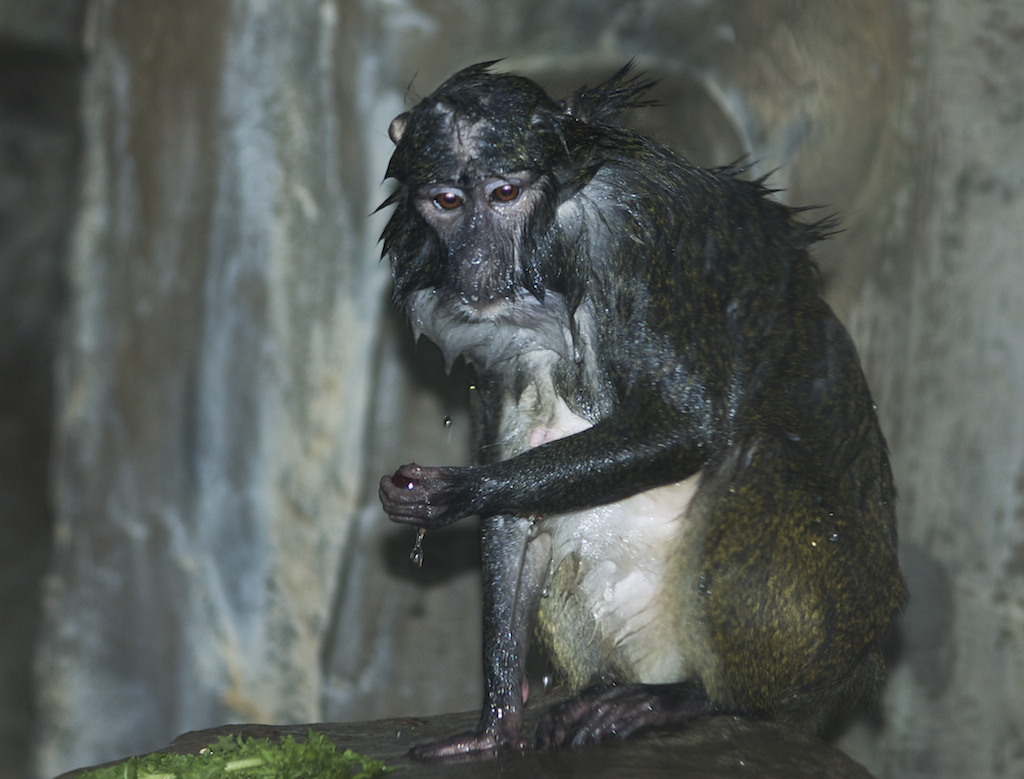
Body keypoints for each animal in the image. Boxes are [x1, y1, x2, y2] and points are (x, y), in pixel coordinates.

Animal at [377, 62, 906, 758]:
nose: (477, 263)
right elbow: (513, 496)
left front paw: (458, 493)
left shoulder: (635, 239)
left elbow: (688, 426)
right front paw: (496, 725)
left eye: (503, 194)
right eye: (446, 202)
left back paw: (701, 698)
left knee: (757, 459)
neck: (558, 245)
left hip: (826, 638)